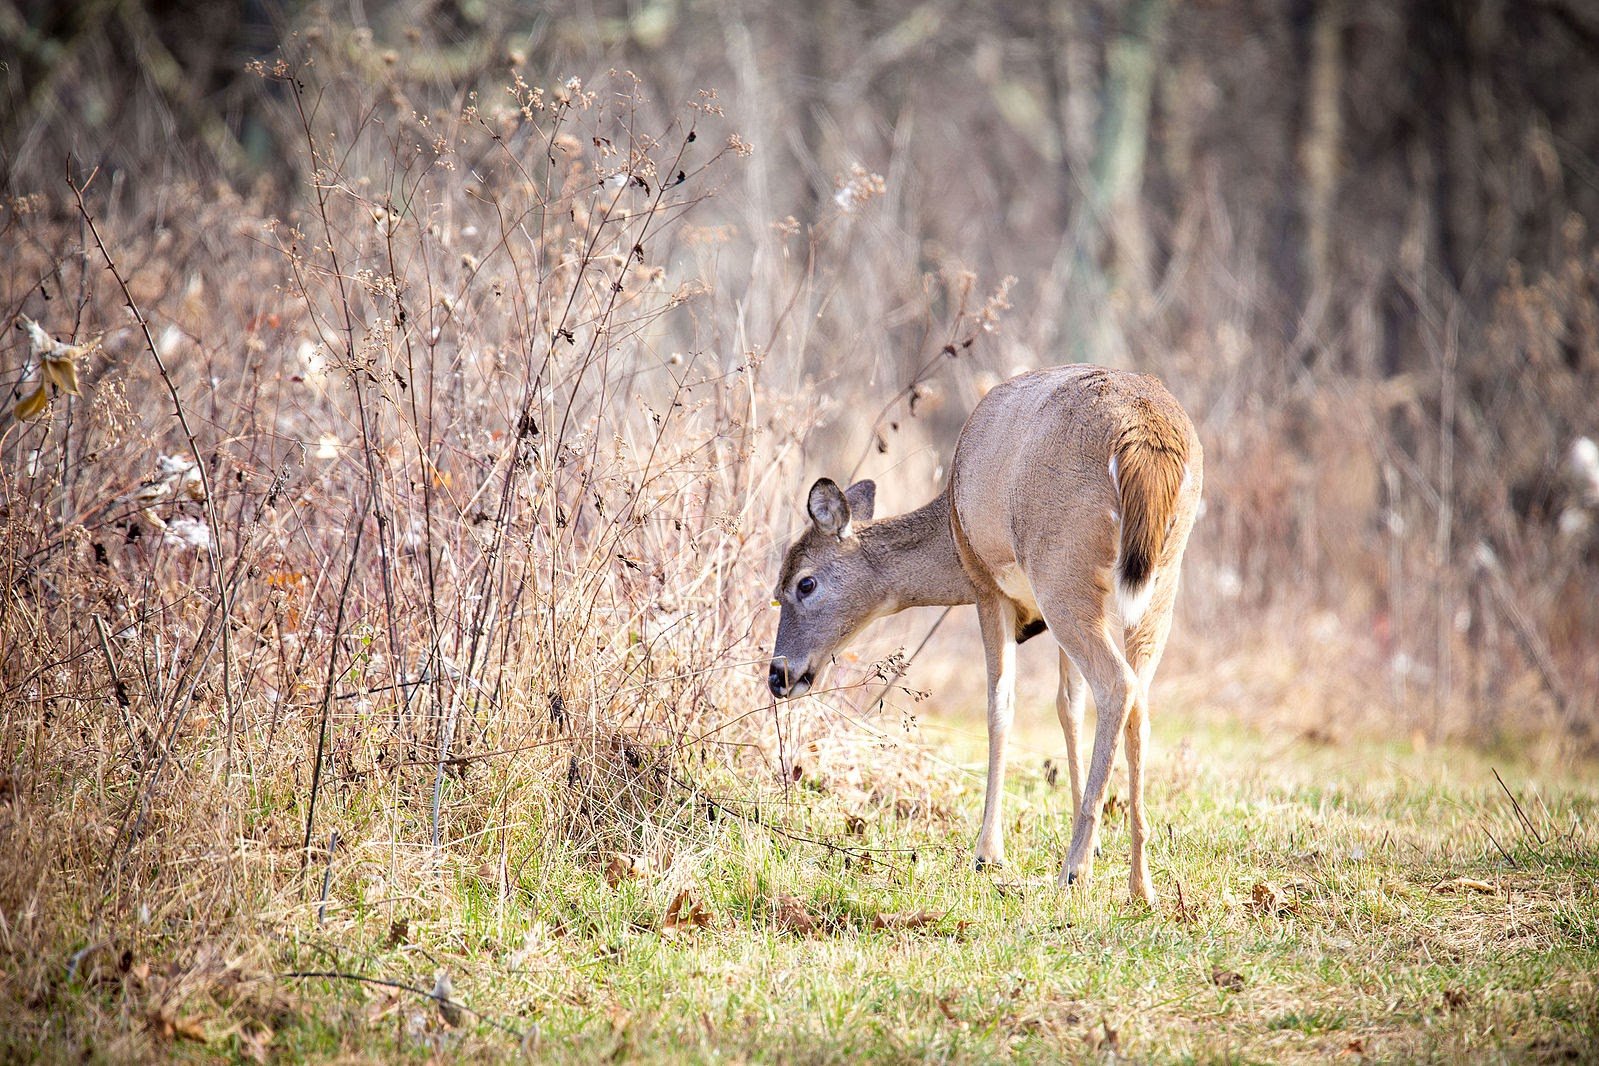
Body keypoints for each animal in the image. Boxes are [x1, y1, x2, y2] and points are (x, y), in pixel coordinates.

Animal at [764, 364, 1202, 901]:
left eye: (804, 584)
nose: (779, 675)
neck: (951, 528)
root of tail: (1145, 435)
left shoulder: (987, 586)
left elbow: (999, 704)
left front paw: (987, 852)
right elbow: (1068, 705)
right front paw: (1098, 847)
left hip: (1062, 567)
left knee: (1118, 684)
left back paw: (1073, 870)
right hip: (1159, 575)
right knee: (1138, 693)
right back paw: (1140, 882)